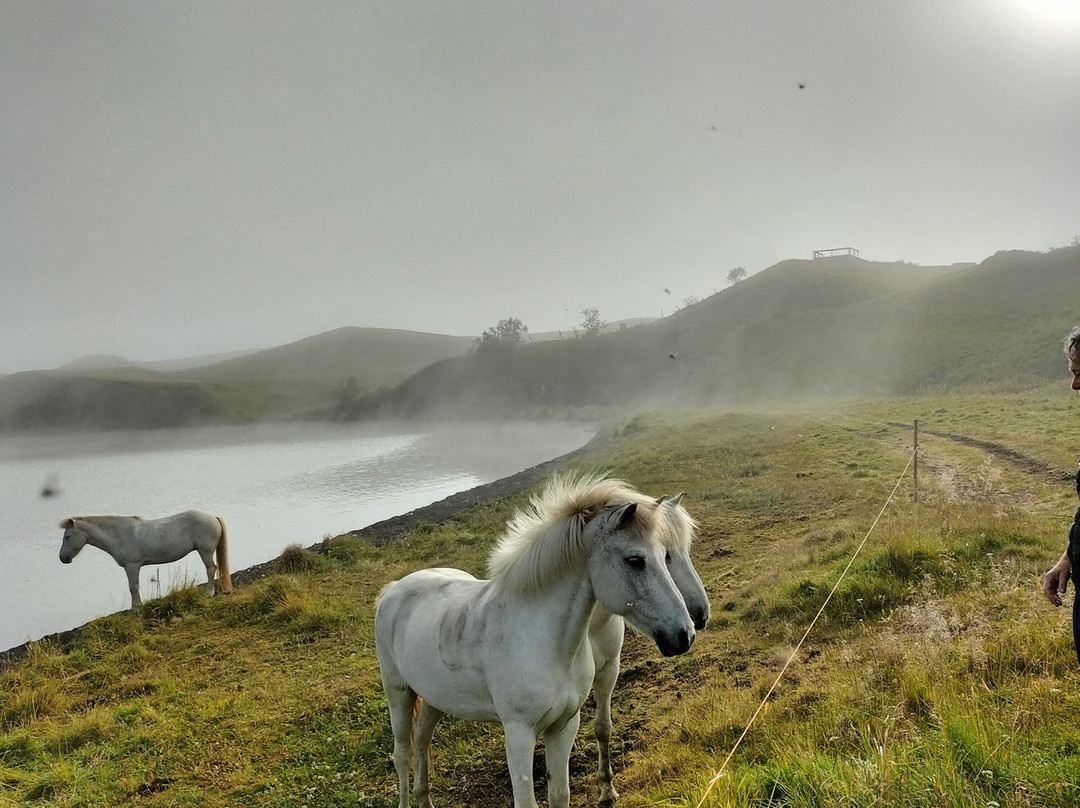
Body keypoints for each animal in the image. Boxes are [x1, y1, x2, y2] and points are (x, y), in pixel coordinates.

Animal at [58, 510, 232, 609]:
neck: (118, 534)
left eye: (67, 537)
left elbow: (133, 587)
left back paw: (209, 593)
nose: (62, 558)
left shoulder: (132, 566)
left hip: (205, 551)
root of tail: (213, 517)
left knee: (211, 569)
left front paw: (136, 607)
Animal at [374, 473, 696, 808]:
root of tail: (392, 589)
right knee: (402, 754)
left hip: (434, 696)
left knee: (422, 740)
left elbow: (560, 794)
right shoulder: (519, 734)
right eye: (635, 560)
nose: (684, 633)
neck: (546, 643)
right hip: (398, 693)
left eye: (663, 555)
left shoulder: (563, 726)